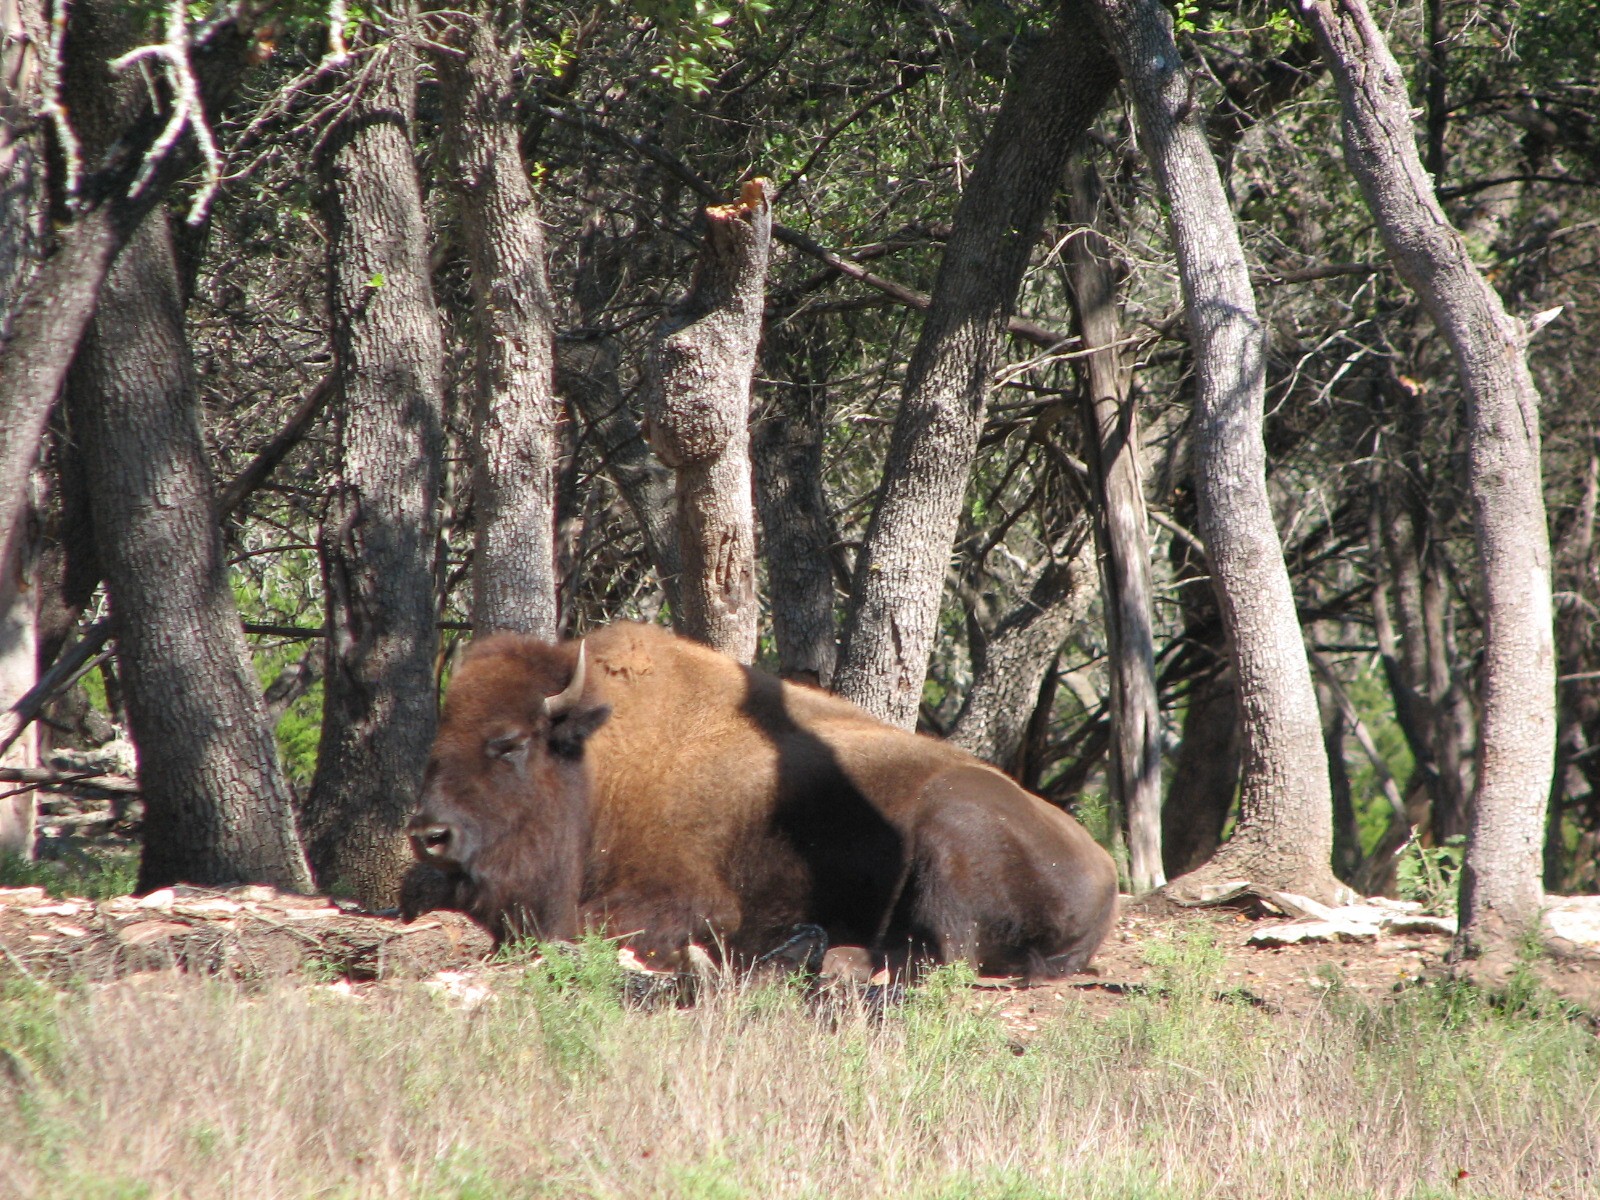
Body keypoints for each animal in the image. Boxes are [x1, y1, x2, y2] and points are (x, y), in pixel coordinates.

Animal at [404, 622, 1117, 978]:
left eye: (508, 742)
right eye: (439, 735)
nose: (429, 835)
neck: (606, 760)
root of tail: (1104, 875)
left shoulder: (689, 896)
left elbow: (582, 924)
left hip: (952, 819)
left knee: (944, 952)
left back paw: (831, 958)